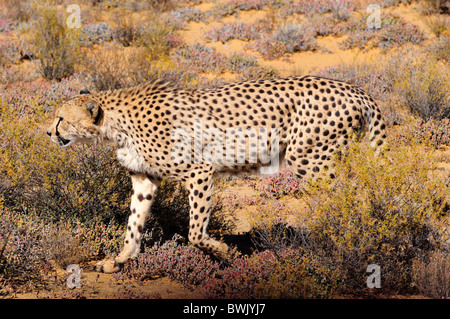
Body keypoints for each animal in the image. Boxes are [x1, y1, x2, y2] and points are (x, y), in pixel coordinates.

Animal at [46, 75, 386, 272]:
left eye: (61, 118)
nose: (49, 132)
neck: (115, 124)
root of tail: (354, 89)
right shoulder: (145, 178)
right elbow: (134, 223)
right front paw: (120, 259)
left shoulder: (199, 171)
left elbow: (195, 232)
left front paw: (225, 252)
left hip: (307, 158)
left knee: (349, 196)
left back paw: (345, 237)